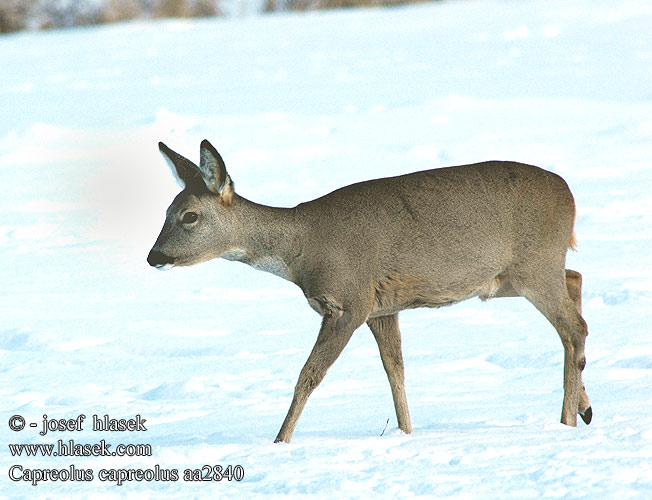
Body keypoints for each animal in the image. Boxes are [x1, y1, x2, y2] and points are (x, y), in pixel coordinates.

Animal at [146, 140, 592, 442]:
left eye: (189, 216)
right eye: (165, 211)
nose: (154, 256)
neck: (299, 249)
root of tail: (570, 194)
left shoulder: (350, 301)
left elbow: (308, 374)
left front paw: (280, 441)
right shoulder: (382, 307)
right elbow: (395, 369)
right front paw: (406, 434)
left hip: (534, 264)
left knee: (574, 327)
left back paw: (567, 421)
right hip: (507, 278)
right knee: (576, 281)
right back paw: (586, 407)